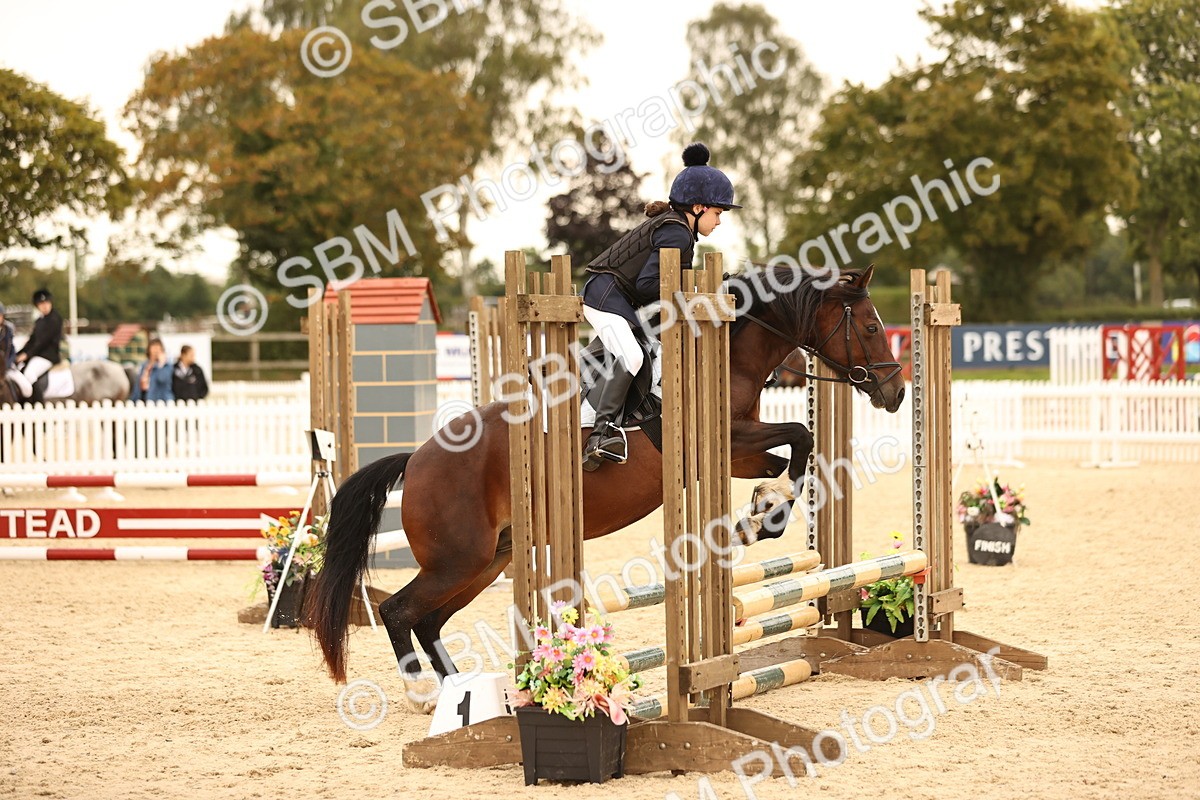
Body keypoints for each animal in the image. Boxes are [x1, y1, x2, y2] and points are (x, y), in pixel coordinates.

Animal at [307, 265, 905, 709]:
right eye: (872, 327)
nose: (896, 392)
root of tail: (418, 459)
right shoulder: (720, 439)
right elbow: (800, 433)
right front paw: (771, 507)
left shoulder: (737, 452)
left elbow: (792, 452)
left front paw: (763, 511)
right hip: (458, 559)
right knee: (399, 612)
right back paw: (424, 696)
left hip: (490, 560)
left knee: (429, 620)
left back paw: (470, 696)